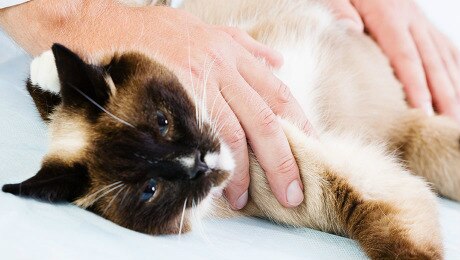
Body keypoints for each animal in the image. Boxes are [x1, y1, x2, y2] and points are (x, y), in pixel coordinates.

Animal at [3, 0, 460, 258]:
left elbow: (50, 91)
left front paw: (49, 68)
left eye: (162, 122)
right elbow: (399, 240)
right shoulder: (337, 182)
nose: (198, 162)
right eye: (150, 189)